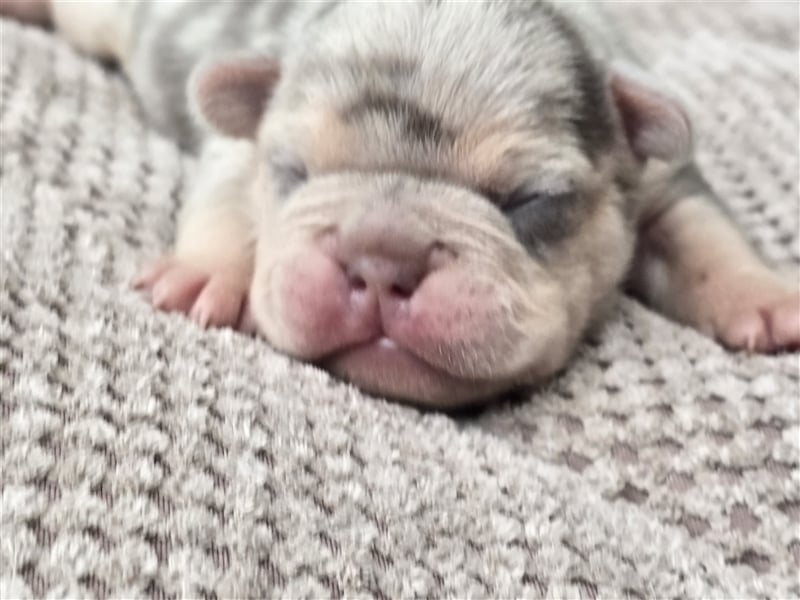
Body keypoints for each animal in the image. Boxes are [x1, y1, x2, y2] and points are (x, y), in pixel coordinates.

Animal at [3, 0, 796, 408]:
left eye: (529, 199)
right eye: (294, 170)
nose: (380, 259)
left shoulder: (665, 179)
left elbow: (705, 235)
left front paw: (765, 298)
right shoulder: (237, 143)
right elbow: (226, 200)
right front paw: (202, 274)